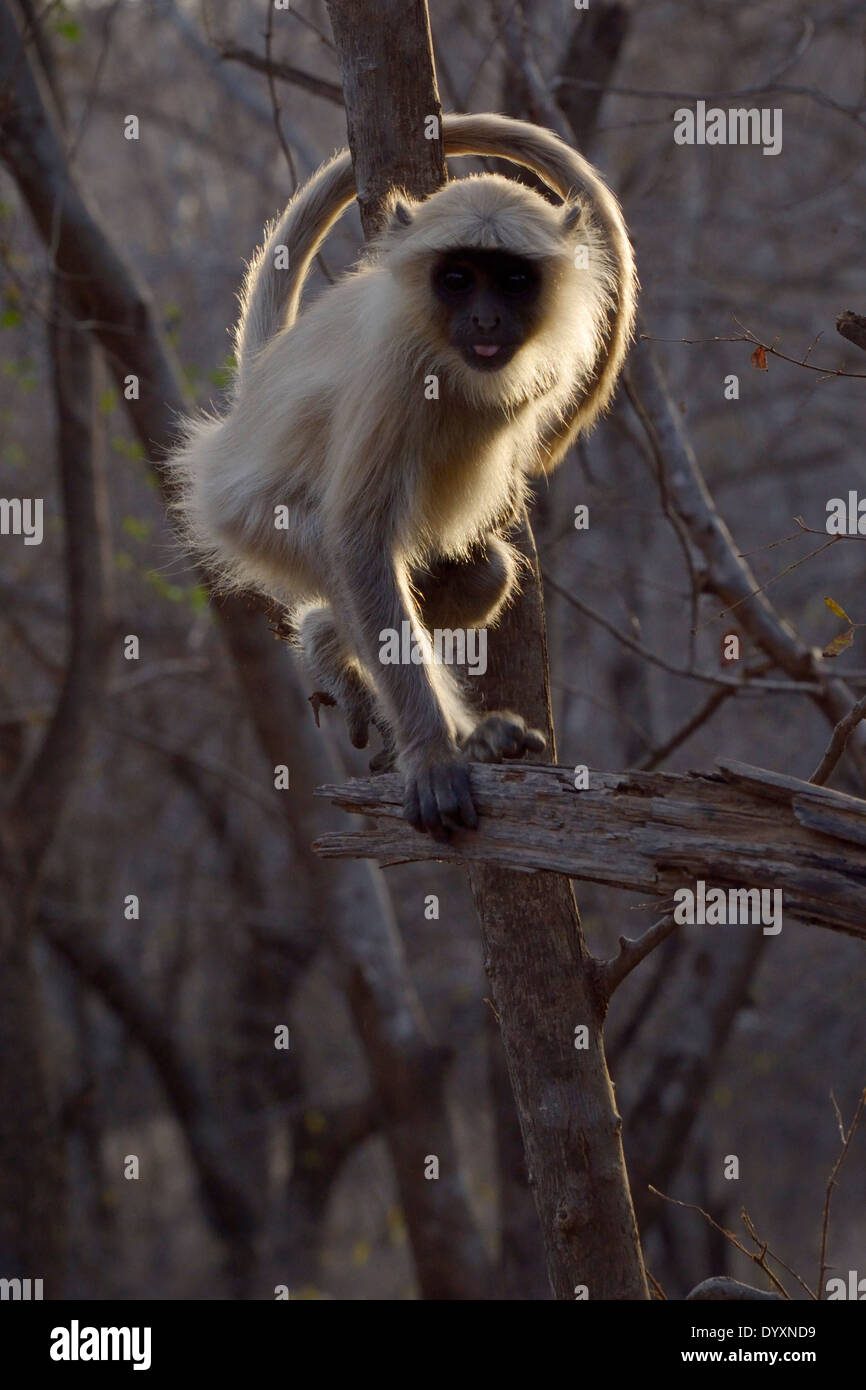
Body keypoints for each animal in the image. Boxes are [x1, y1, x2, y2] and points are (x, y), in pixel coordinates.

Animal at [173, 111, 639, 834]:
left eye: (511, 279)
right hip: (251, 519)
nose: (484, 318)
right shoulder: (396, 372)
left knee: (481, 573)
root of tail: (243, 417)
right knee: (339, 552)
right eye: (458, 277)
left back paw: (332, 644)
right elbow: (357, 540)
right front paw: (434, 759)